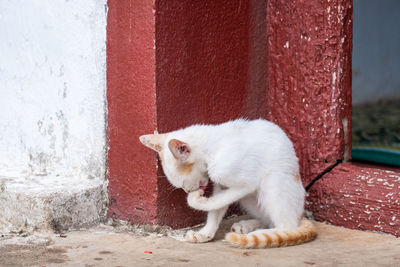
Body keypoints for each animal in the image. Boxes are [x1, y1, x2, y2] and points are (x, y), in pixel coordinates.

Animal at [139, 119, 318, 249]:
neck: (212, 147)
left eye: (183, 183)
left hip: (272, 183)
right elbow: (217, 208)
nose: (188, 190)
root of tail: (300, 212)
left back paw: (260, 232)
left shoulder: (245, 182)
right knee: (270, 218)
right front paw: (205, 233)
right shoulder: (221, 185)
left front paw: (196, 199)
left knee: (287, 225)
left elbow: (216, 201)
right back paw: (247, 225)